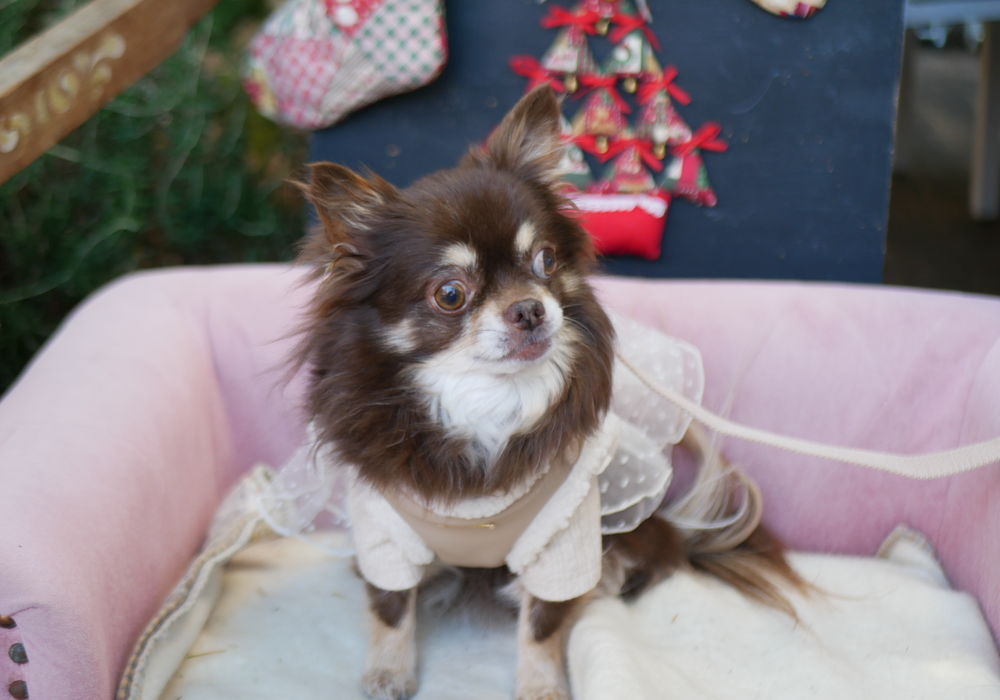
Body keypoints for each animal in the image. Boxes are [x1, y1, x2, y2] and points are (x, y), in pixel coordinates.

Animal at [294, 86, 801, 700]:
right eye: (450, 294)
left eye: (546, 261)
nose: (530, 308)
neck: (485, 399)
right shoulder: (384, 536)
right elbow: (391, 608)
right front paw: (389, 672)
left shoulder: (565, 542)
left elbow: (541, 624)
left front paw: (541, 687)